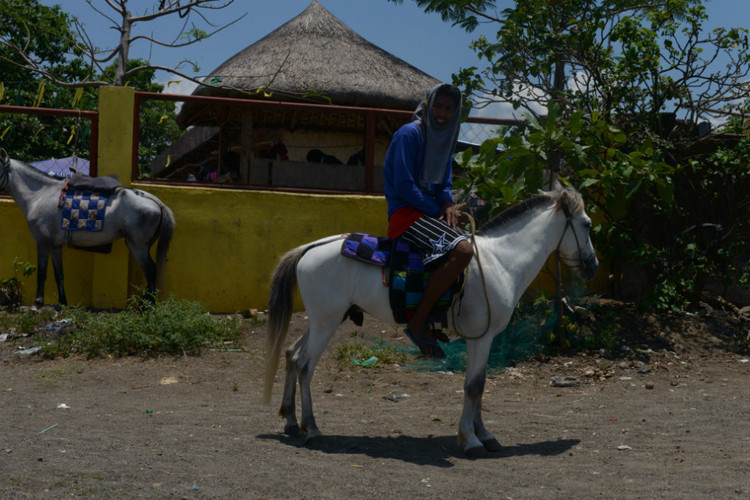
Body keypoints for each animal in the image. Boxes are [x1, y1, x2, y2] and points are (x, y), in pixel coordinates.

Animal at [0, 149, 175, 304]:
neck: (40, 195)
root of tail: (154, 200)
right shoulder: (55, 245)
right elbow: (59, 274)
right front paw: (62, 302)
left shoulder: (42, 242)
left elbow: (42, 273)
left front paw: (38, 302)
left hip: (137, 246)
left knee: (150, 270)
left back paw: (148, 305)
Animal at [264, 187, 600, 458]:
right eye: (586, 224)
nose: (593, 265)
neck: (501, 262)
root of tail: (309, 248)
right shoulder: (482, 337)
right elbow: (474, 386)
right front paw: (470, 440)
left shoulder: (484, 339)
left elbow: (480, 384)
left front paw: (484, 434)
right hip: (326, 323)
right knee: (305, 365)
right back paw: (312, 429)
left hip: (323, 320)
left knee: (292, 355)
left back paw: (291, 421)